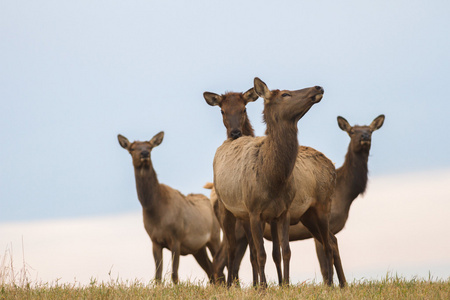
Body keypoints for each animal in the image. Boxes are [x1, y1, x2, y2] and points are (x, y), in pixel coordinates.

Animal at [116, 132, 221, 284]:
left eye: (150, 146)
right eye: (132, 148)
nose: (145, 153)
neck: (155, 210)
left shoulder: (176, 238)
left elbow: (174, 274)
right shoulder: (154, 240)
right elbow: (158, 275)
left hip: (215, 236)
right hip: (198, 249)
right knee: (210, 270)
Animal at [212, 77, 326, 286]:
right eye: (285, 94)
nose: (318, 87)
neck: (274, 180)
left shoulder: (283, 211)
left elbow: (285, 251)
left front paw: (285, 284)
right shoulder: (255, 211)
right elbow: (262, 254)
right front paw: (264, 287)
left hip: (245, 217)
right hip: (227, 210)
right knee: (231, 250)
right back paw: (232, 285)